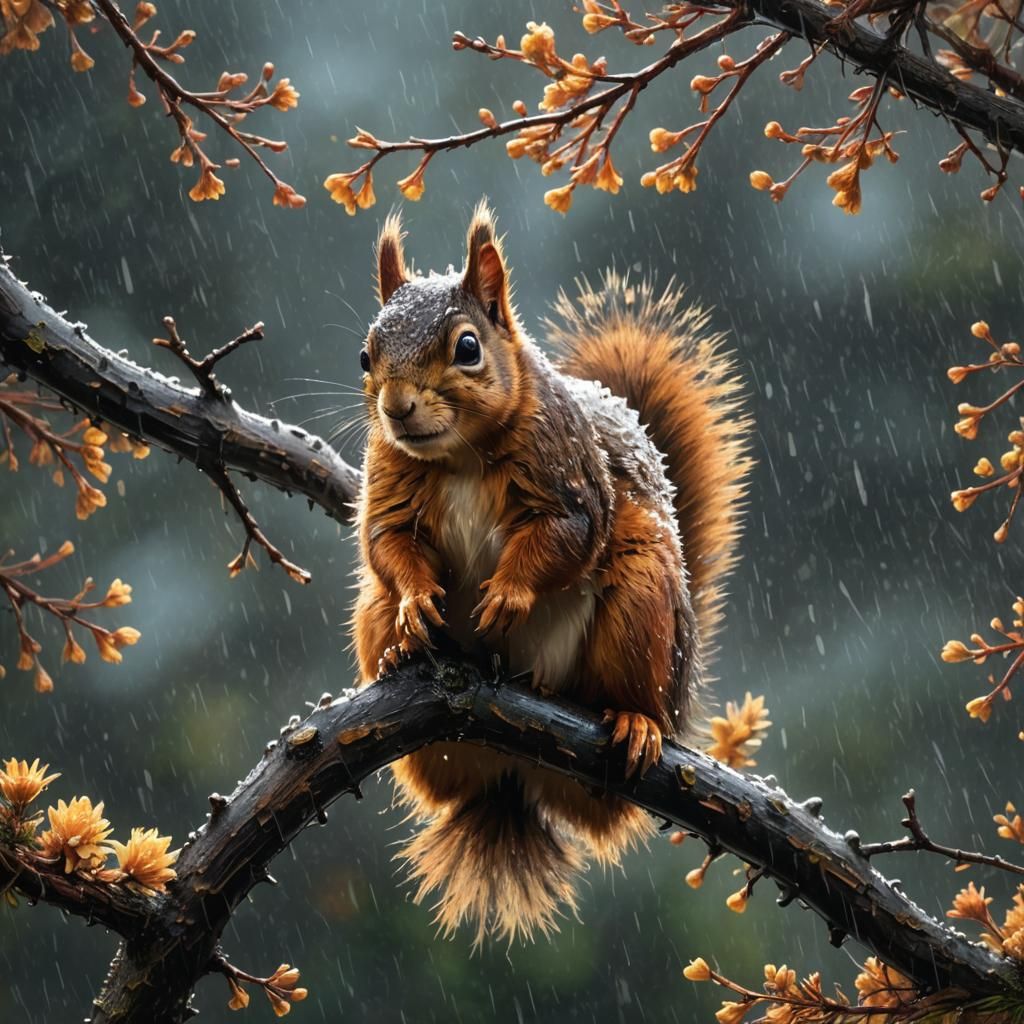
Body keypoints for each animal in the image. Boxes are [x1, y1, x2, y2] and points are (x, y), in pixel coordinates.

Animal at [352, 202, 752, 946]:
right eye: (366, 356)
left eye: (468, 348)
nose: (396, 409)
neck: (460, 455)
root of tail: (513, 775)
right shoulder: (389, 481)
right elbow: (388, 544)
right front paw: (417, 602)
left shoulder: (571, 480)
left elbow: (564, 540)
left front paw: (509, 595)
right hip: (369, 612)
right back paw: (398, 653)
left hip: (642, 596)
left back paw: (634, 722)